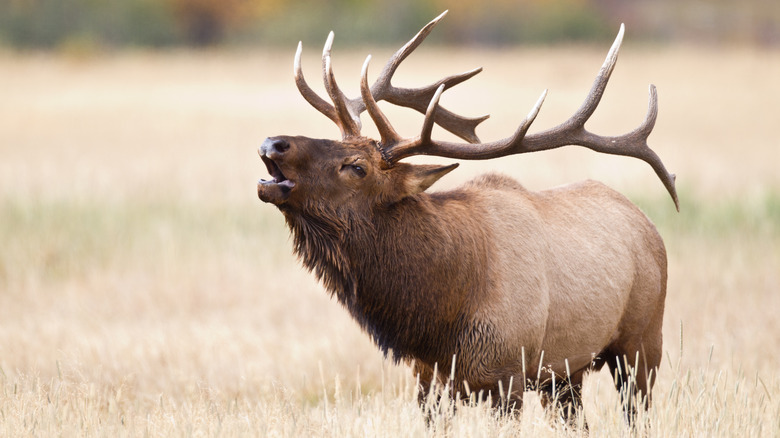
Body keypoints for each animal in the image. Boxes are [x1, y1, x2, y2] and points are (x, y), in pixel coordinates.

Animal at [254, 10, 676, 426]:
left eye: (357, 167)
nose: (273, 143)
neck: (439, 318)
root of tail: (648, 225)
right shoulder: (428, 380)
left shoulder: (508, 373)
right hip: (564, 373)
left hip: (642, 342)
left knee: (639, 410)